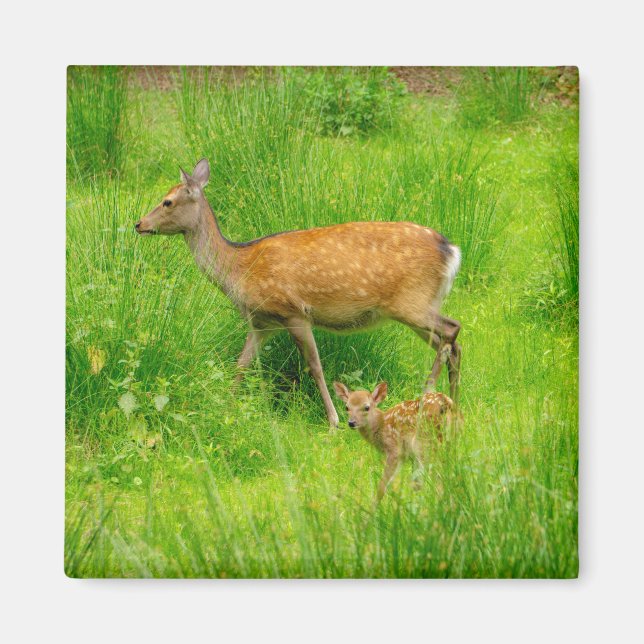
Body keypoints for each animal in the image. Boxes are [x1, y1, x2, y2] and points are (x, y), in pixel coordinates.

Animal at [135, 158, 462, 428]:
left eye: (167, 201)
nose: (139, 224)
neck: (239, 269)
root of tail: (452, 251)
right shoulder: (261, 322)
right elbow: (241, 364)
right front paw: (226, 406)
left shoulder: (293, 311)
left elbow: (315, 366)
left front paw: (333, 420)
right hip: (418, 306)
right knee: (449, 344)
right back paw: (453, 401)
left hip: (411, 303)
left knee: (452, 330)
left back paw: (427, 395)